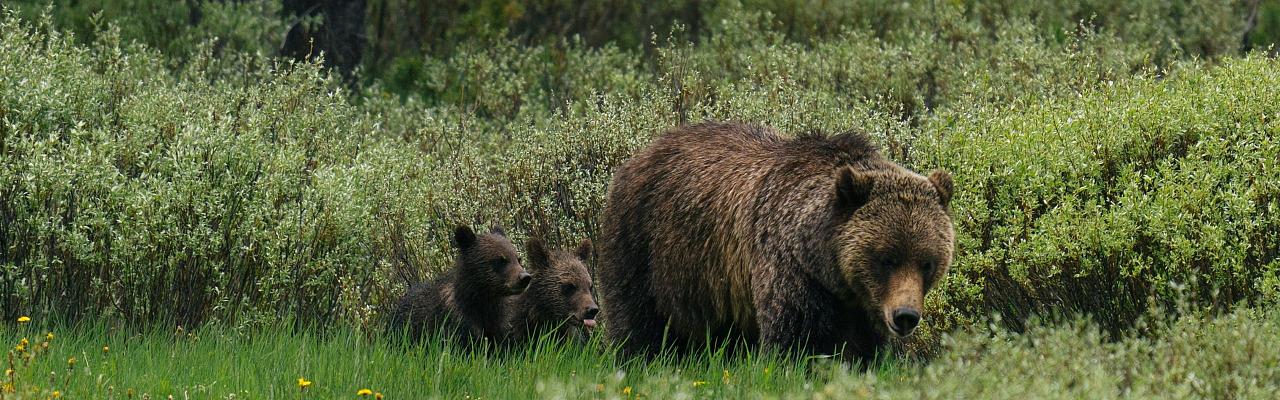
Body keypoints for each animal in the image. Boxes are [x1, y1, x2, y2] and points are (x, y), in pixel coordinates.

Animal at [596, 121, 952, 358]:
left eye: (927, 263)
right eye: (887, 258)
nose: (905, 316)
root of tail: (640, 154)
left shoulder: (863, 305)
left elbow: (863, 348)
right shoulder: (788, 268)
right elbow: (793, 338)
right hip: (647, 246)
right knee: (637, 318)